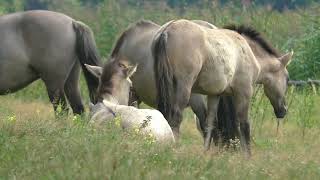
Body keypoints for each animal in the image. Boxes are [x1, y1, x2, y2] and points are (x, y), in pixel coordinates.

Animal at [154, 19, 294, 155]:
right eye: (287, 78)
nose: (283, 110)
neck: (247, 51)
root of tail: (167, 32)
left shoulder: (215, 95)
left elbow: (210, 123)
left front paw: (205, 152)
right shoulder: (244, 92)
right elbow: (244, 125)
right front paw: (248, 155)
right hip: (184, 89)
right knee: (175, 118)